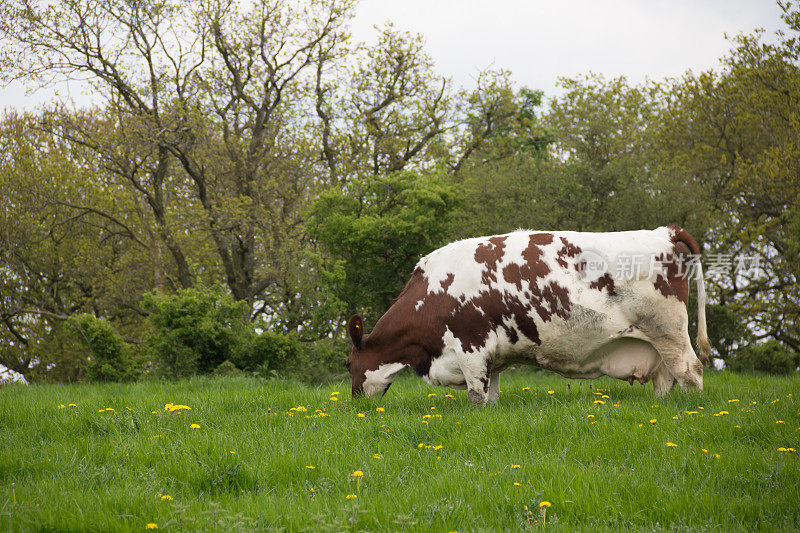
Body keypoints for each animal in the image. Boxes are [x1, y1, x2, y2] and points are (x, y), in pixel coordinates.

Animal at [346, 223, 712, 404]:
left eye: (348, 364)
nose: (355, 404)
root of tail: (663, 232)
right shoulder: (490, 358)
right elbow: (490, 398)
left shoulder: (470, 348)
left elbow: (476, 398)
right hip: (656, 344)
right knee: (666, 378)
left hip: (669, 331)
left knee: (690, 372)